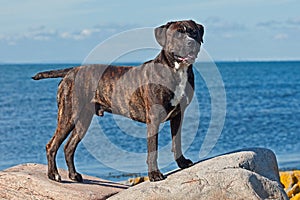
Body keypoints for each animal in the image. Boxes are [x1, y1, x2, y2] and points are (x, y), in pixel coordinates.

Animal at [32, 19, 204, 181]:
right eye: (177, 34)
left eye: (194, 32)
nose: (190, 42)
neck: (176, 70)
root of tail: (71, 71)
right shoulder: (154, 119)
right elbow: (152, 149)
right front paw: (154, 174)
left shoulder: (178, 115)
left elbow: (177, 142)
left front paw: (182, 163)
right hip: (68, 115)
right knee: (51, 145)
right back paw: (53, 174)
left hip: (83, 120)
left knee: (69, 147)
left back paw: (74, 175)